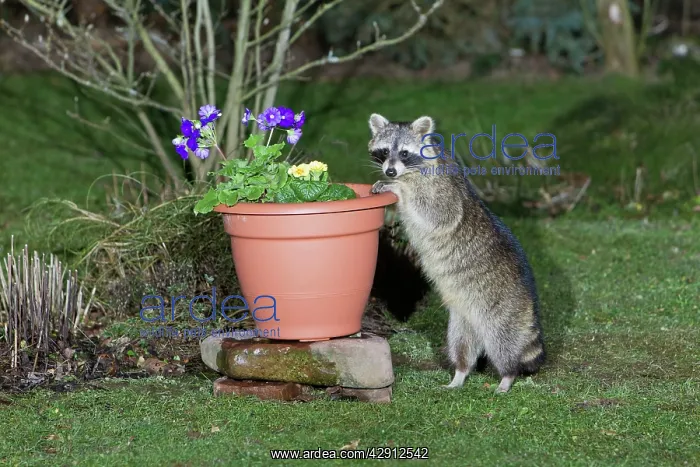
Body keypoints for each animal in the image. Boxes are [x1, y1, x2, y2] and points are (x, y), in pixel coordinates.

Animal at [367, 113, 545, 393]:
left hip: (503, 309)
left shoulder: (442, 189)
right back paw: (460, 373)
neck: (411, 171)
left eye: (405, 153)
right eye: (384, 151)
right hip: (463, 319)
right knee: (461, 345)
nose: (390, 172)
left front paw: (397, 190)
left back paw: (507, 375)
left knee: (503, 342)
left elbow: (436, 212)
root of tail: (529, 301)